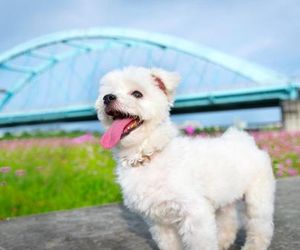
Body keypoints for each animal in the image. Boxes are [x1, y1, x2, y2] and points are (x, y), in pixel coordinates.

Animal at [95, 67, 276, 250]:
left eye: (137, 94)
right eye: (107, 93)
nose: (107, 98)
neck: (147, 156)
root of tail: (244, 140)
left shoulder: (195, 213)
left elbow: (202, 243)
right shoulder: (159, 221)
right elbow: (169, 244)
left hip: (258, 195)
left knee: (260, 224)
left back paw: (254, 245)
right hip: (226, 195)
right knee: (228, 218)